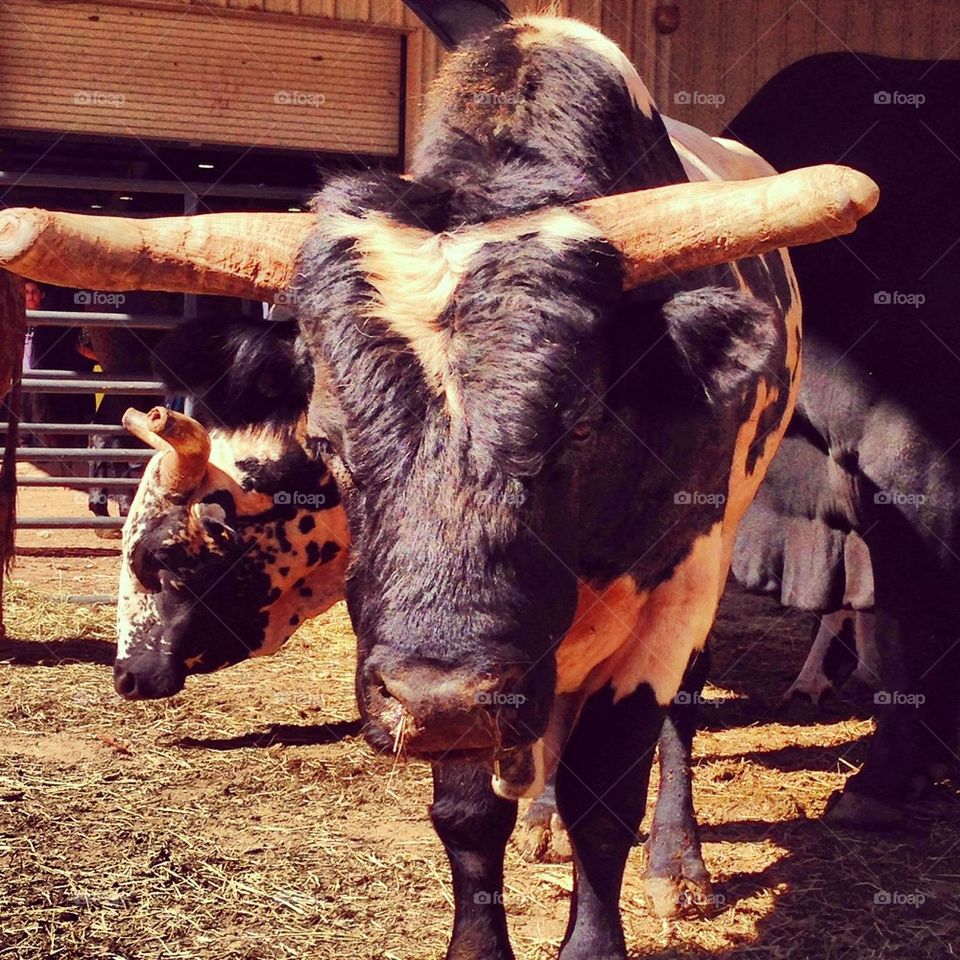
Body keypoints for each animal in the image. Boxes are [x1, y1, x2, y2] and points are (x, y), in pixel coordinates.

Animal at [114, 17, 804, 955]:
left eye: (579, 423)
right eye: (328, 442)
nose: (126, 675)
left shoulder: (673, 591)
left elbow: (608, 797)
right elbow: (472, 814)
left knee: (674, 721)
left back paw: (678, 866)